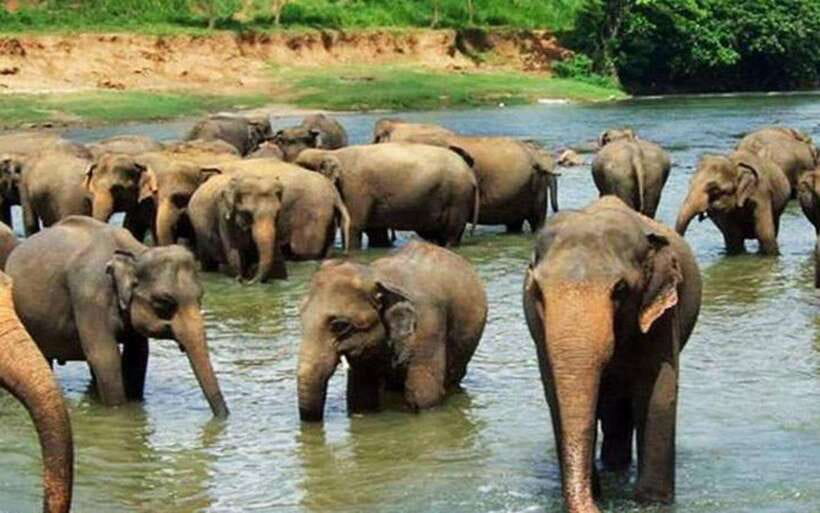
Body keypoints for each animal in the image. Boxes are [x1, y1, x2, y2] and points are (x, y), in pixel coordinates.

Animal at [6, 216, 229, 417]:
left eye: (200, 298)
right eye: (164, 303)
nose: (224, 417)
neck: (135, 254)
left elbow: (138, 355)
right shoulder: (89, 296)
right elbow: (104, 356)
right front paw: (118, 412)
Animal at [295, 143, 479, 250]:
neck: (329, 153)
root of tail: (471, 174)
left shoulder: (355, 189)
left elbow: (353, 226)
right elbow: (375, 232)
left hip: (458, 197)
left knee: (450, 234)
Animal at [297, 240, 487, 421]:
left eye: (340, 325)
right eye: (301, 317)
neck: (378, 277)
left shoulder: (428, 324)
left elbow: (424, 396)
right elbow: (361, 398)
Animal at [523, 196, 702, 513]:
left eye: (620, 289)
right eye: (539, 293)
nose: (593, 505)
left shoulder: (662, 315)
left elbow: (658, 391)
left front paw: (652, 502)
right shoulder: (539, 329)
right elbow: (555, 396)